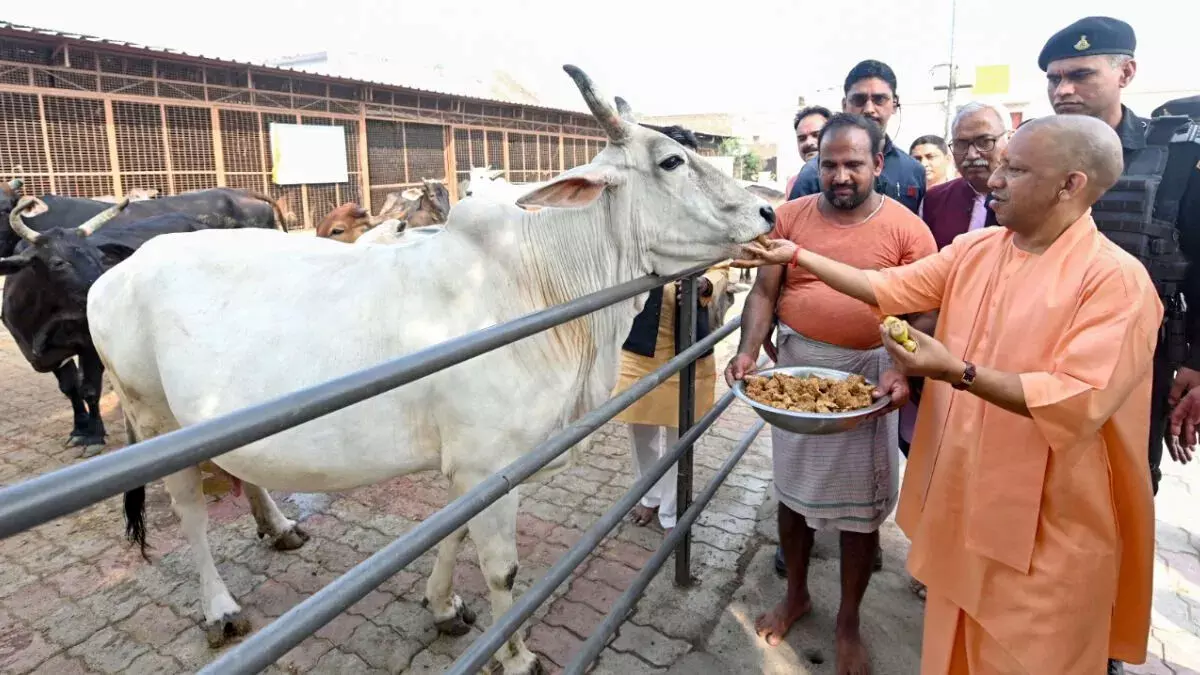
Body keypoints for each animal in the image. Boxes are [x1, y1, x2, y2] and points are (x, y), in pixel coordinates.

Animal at [0, 190, 278, 451]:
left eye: (98, 256)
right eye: (58, 262)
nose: (102, 289)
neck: (41, 326)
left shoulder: (90, 346)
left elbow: (89, 389)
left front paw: (94, 435)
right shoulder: (52, 355)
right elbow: (70, 389)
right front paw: (78, 429)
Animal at [88, 63, 772, 672]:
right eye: (671, 161)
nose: (767, 213)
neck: (541, 279)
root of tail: (118, 271)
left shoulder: (470, 466)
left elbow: (453, 534)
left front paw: (443, 607)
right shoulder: (489, 464)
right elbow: (501, 568)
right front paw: (516, 656)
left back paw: (279, 527)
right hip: (155, 421)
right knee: (189, 511)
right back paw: (220, 609)